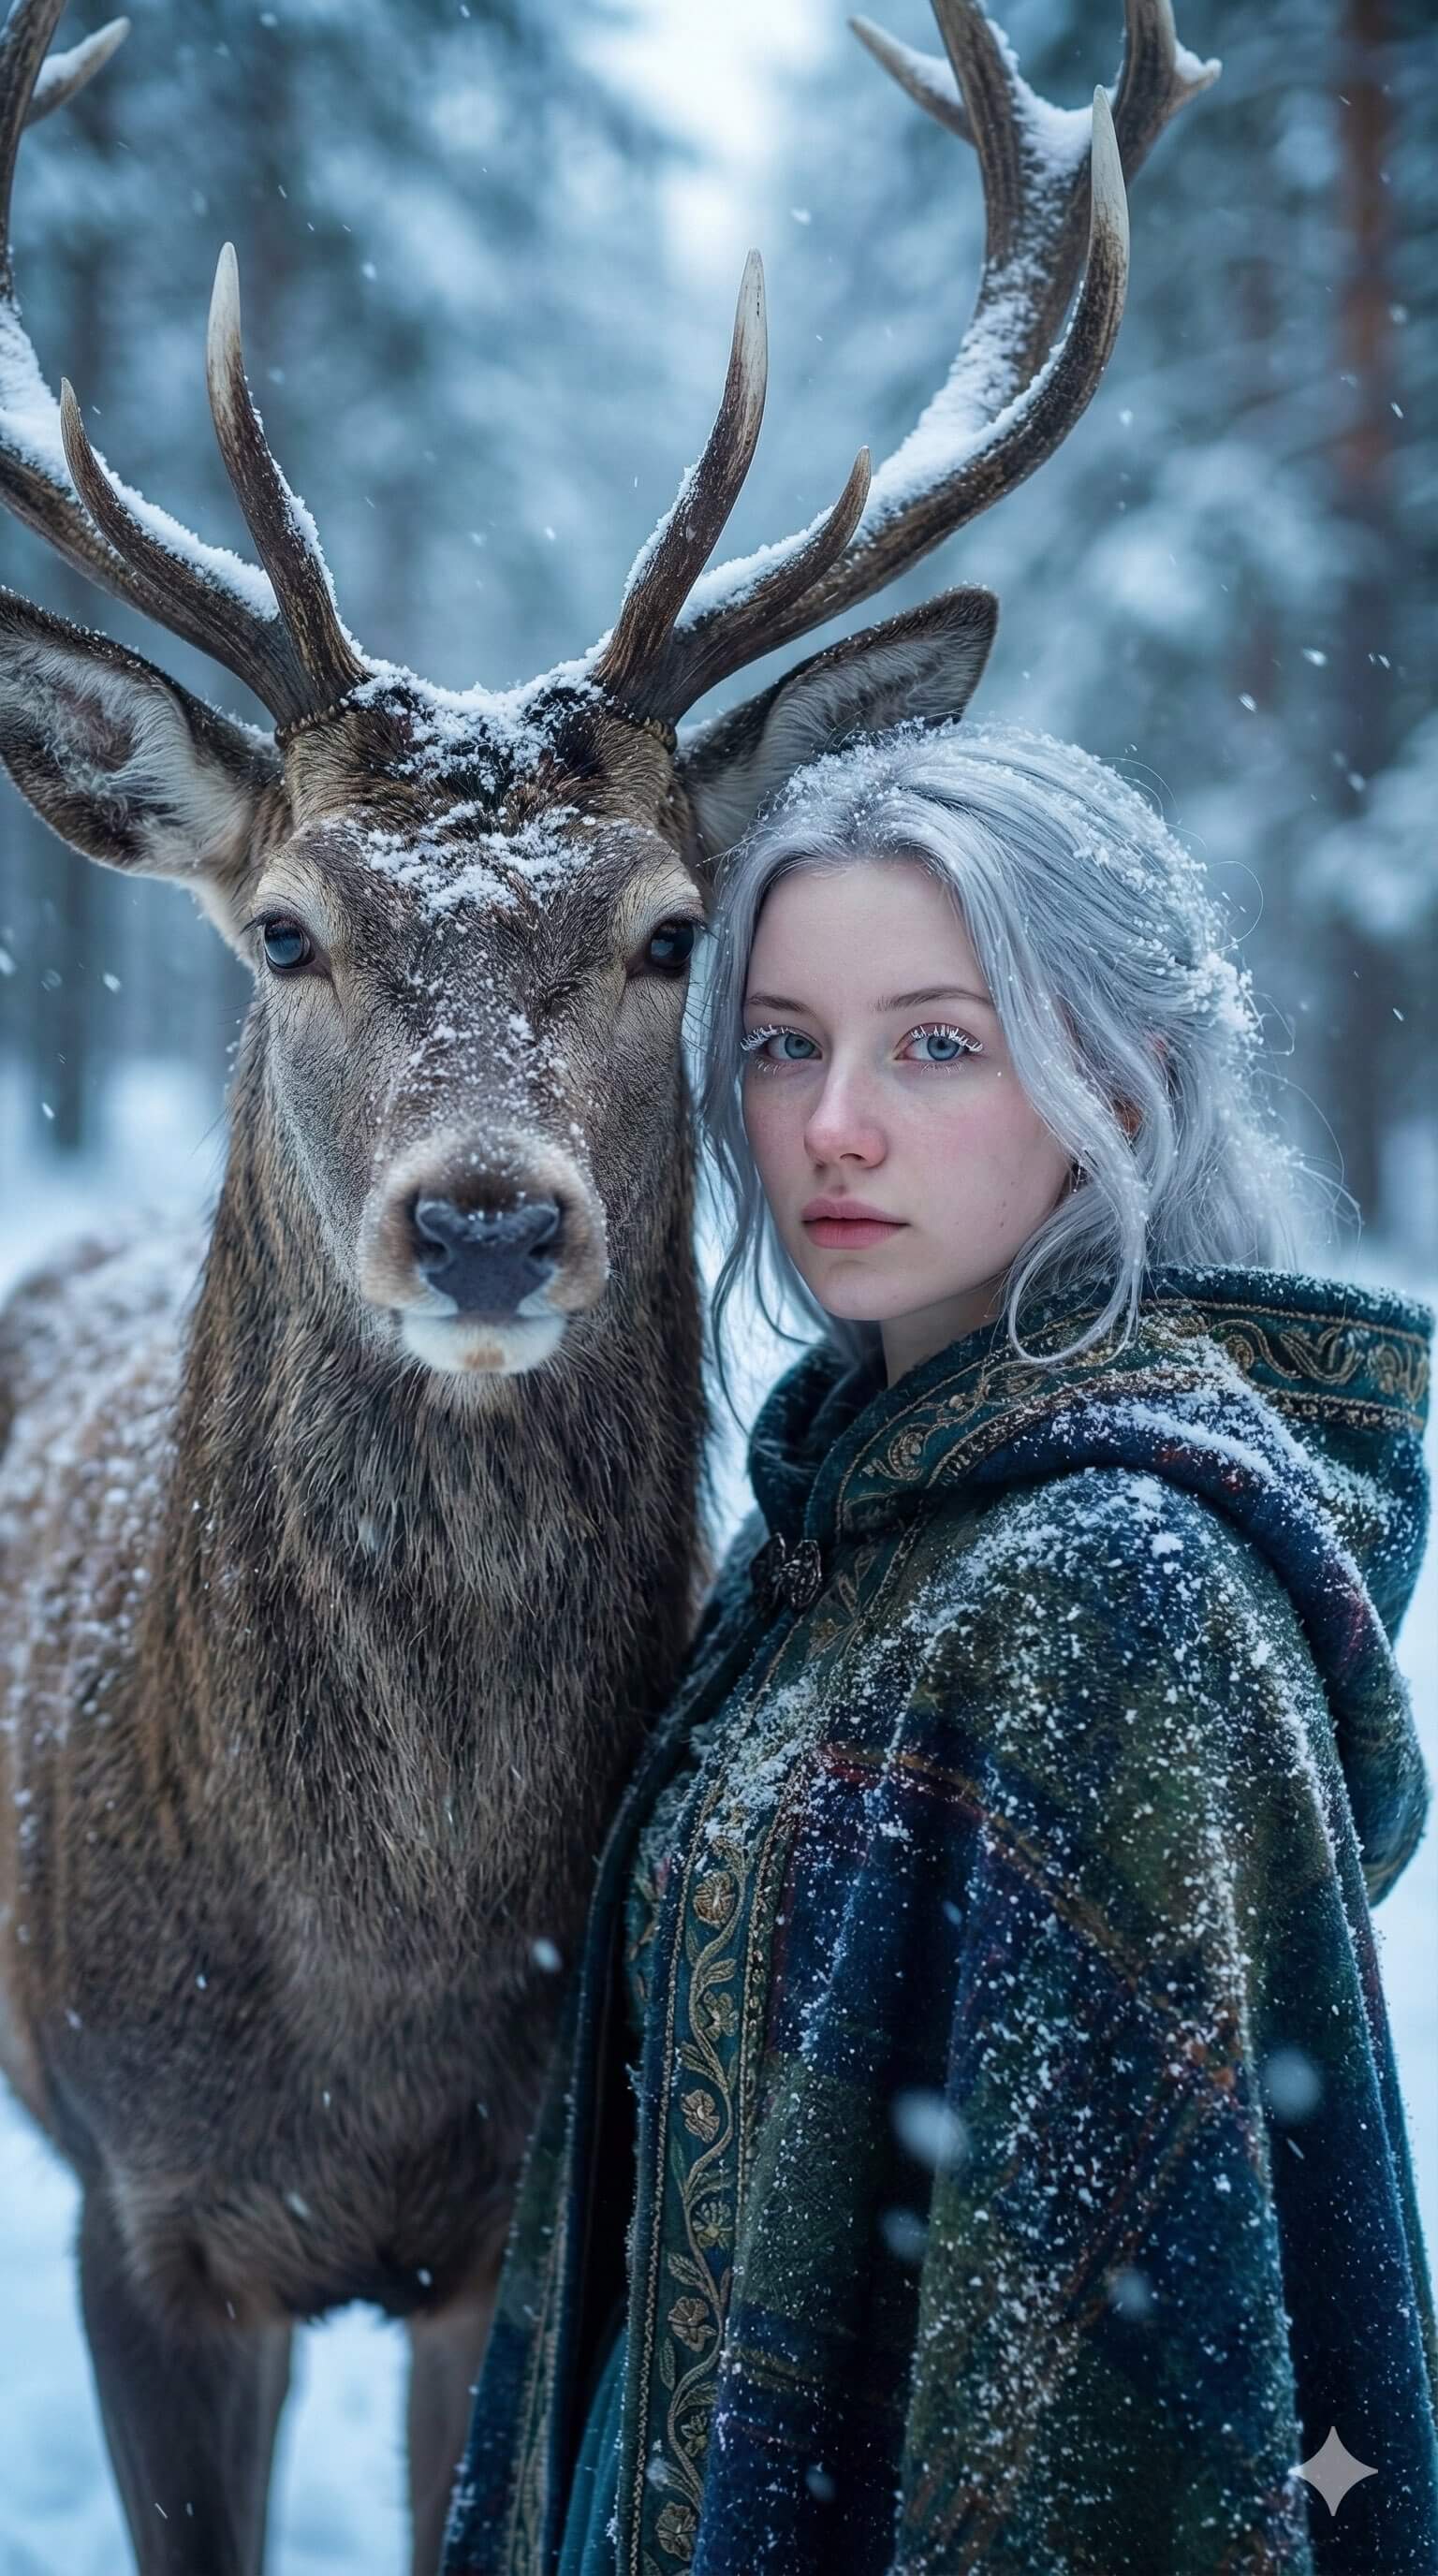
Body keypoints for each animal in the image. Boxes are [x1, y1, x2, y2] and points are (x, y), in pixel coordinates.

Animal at [0, 2, 1214, 2569]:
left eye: (670, 929)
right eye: (286, 928)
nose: (484, 1217)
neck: (366, 2000)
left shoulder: (501, 2226)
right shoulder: (141, 2206)